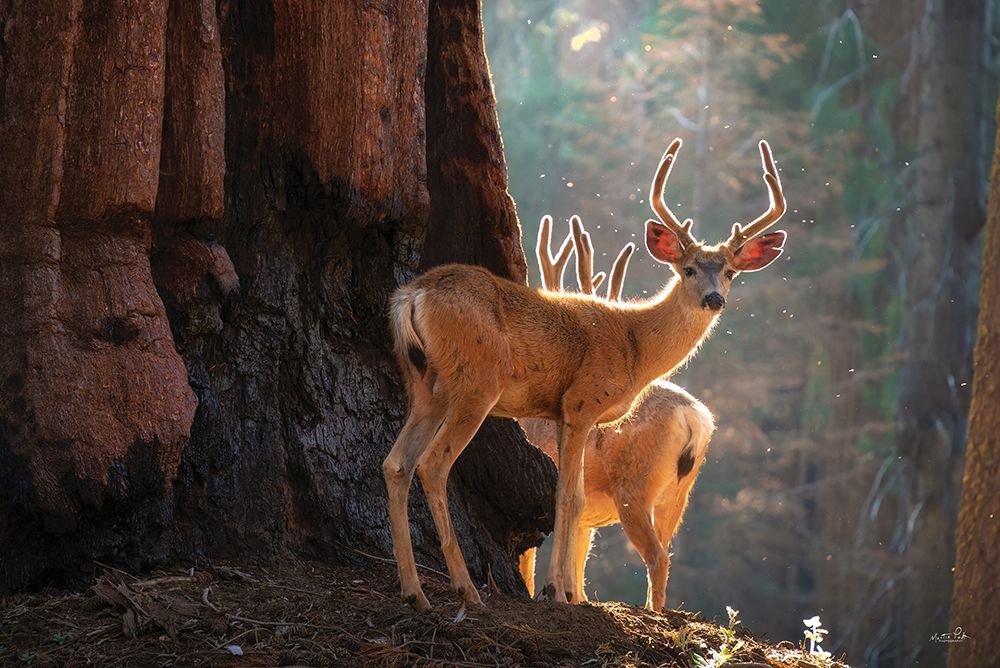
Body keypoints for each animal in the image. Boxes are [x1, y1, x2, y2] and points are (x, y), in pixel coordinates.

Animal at [517, 217, 716, 611]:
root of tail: (695, 418)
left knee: (656, 556)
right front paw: (569, 595)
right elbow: (578, 568)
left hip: (634, 486)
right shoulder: (586, 521)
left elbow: (528, 563)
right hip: (679, 494)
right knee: (667, 549)